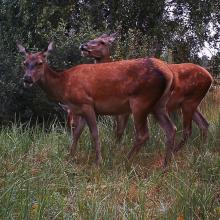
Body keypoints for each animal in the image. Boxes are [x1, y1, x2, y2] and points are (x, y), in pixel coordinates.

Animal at [17, 42, 176, 168]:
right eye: (24, 63)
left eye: (40, 62)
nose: (27, 79)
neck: (64, 85)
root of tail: (168, 73)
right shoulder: (79, 109)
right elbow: (76, 134)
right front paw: (70, 157)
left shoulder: (86, 103)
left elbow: (94, 133)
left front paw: (98, 162)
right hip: (159, 104)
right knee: (171, 129)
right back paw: (165, 165)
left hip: (140, 101)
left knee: (143, 134)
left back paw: (124, 161)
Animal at [80, 35, 212, 154]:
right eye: (93, 38)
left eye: (102, 42)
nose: (83, 46)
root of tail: (210, 77)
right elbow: (117, 131)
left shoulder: (125, 110)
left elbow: (120, 131)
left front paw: (115, 150)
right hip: (191, 104)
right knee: (203, 124)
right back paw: (201, 151)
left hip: (188, 102)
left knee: (188, 130)